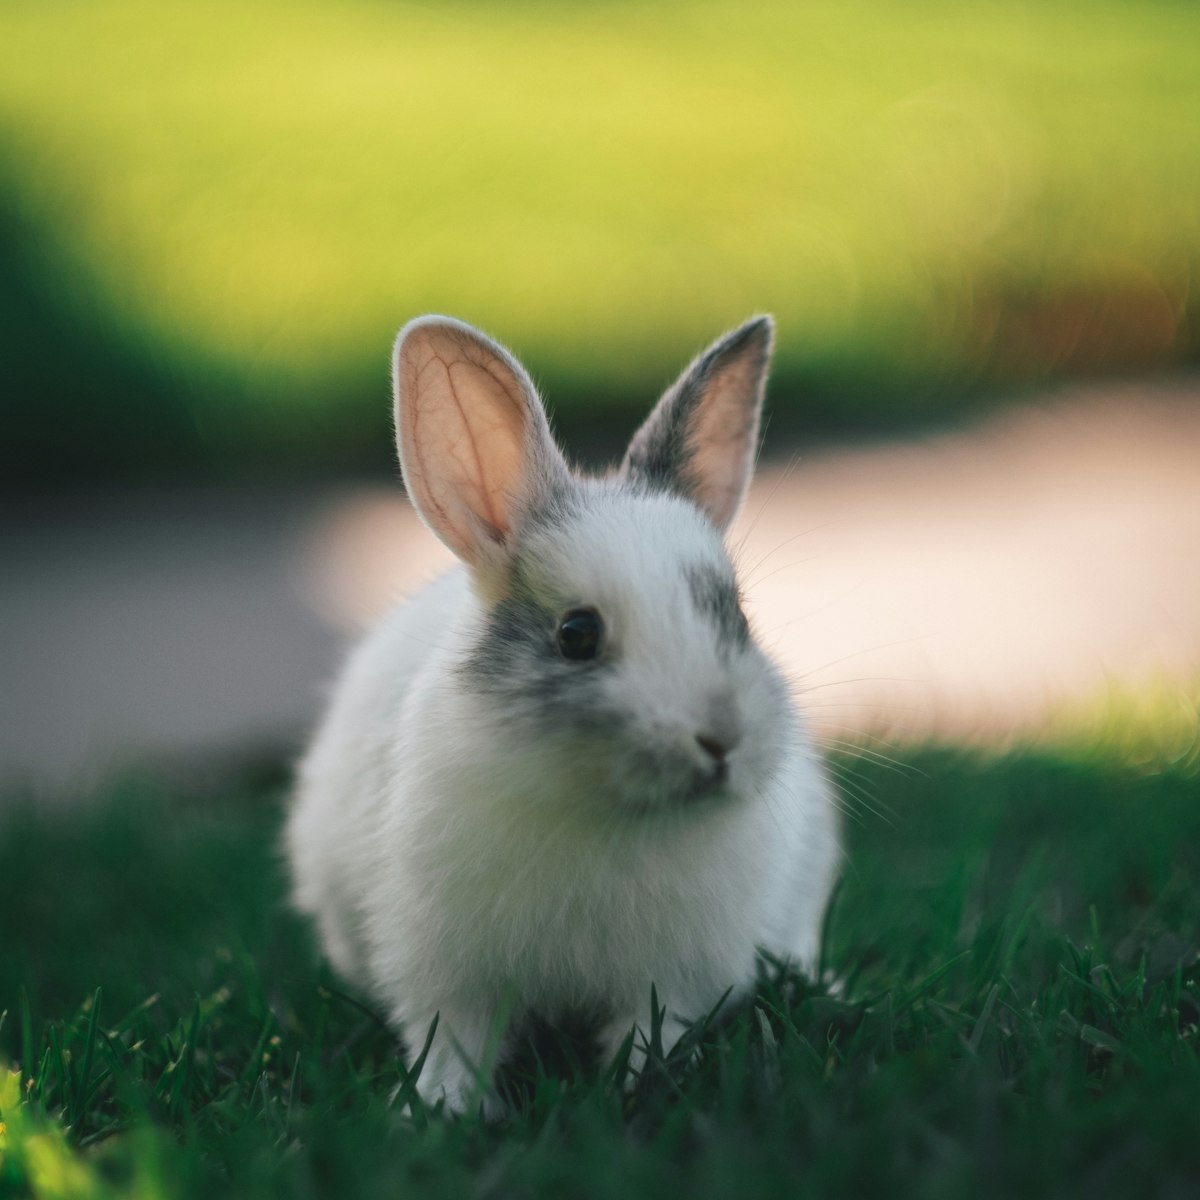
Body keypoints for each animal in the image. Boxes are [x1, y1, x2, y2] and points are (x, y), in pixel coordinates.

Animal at [285, 314, 839, 1112]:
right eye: (577, 635)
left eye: (736, 617)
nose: (723, 742)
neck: (606, 812)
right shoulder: (447, 973)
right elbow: (452, 1040)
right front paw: (443, 1109)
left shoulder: (671, 978)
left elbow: (651, 1030)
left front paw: (632, 1088)